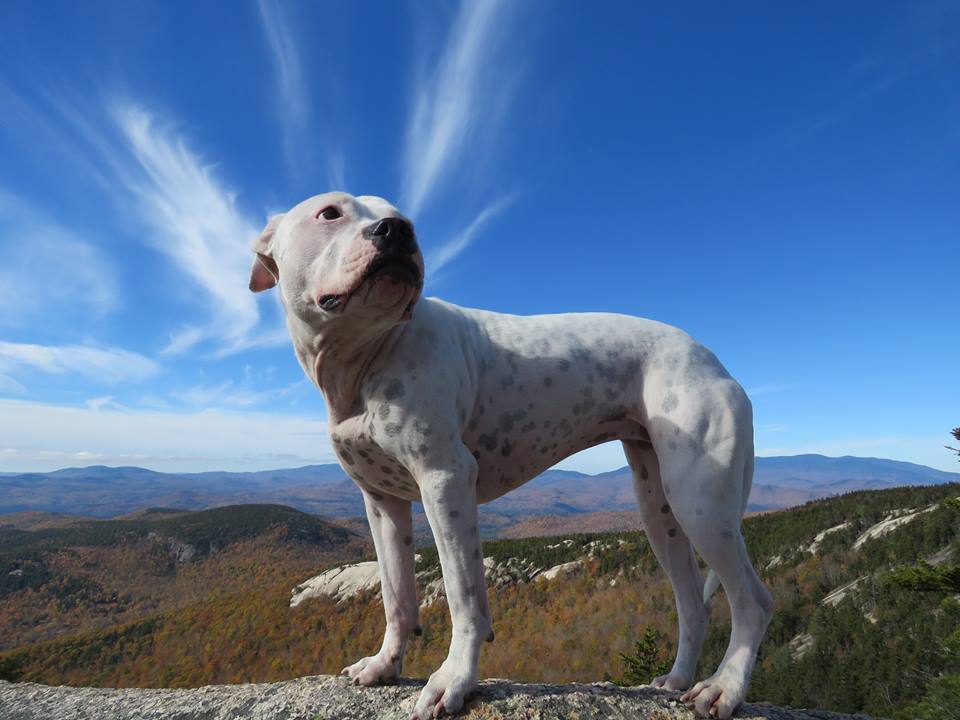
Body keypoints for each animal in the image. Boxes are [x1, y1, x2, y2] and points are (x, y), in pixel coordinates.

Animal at [246, 193, 772, 720]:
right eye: (330, 212)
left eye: (401, 216)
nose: (398, 230)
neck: (369, 352)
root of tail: (715, 361)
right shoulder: (382, 503)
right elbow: (397, 597)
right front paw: (384, 666)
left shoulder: (446, 481)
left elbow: (463, 597)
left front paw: (454, 681)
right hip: (659, 508)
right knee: (693, 603)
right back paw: (676, 680)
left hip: (699, 502)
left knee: (753, 602)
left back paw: (722, 688)